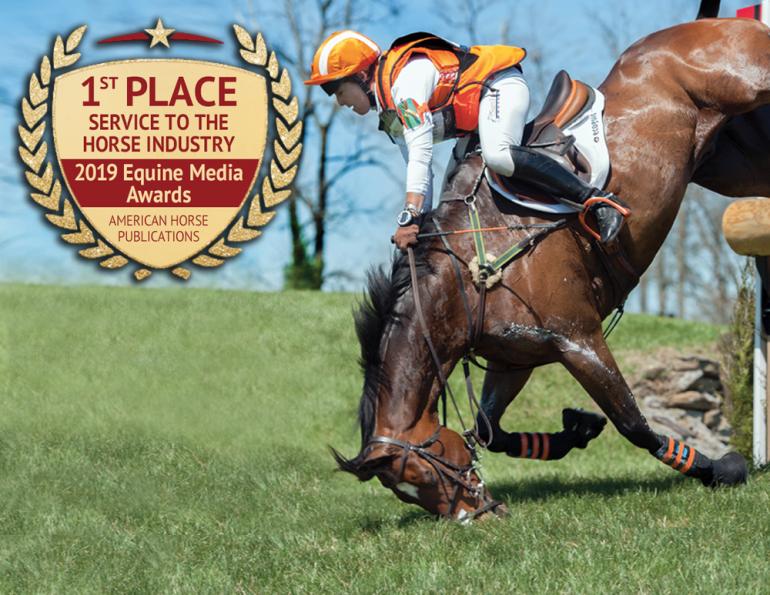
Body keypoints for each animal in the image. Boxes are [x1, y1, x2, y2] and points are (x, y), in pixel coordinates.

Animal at [333, 12, 767, 520]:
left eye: (424, 472)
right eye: (408, 490)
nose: (475, 517)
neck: (473, 274)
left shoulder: (578, 339)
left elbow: (634, 425)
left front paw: (722, 468)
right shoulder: (515, 355)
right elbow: (488, 432)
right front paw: (575, 431)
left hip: (749, 85)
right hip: (729, 160)